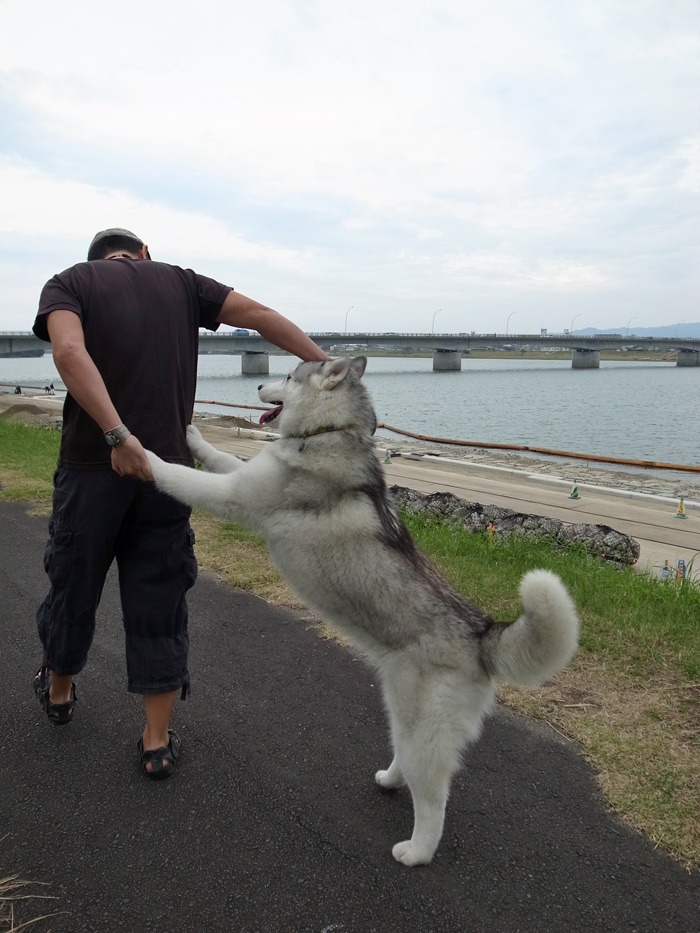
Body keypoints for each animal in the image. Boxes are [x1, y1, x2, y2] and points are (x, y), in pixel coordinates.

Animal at [145, 356, 576, 868]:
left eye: (287, 377)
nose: (257, 383)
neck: (326, 430)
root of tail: (482, 632)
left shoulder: (235, 496)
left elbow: (183, 478)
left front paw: (137, 453)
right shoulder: (244, 476)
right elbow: (218, 456)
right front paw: (192, 436)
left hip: (423, 731)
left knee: (435, 798)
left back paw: (416, 851)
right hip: (399, 711)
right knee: (407, 761)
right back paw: (391, 779)